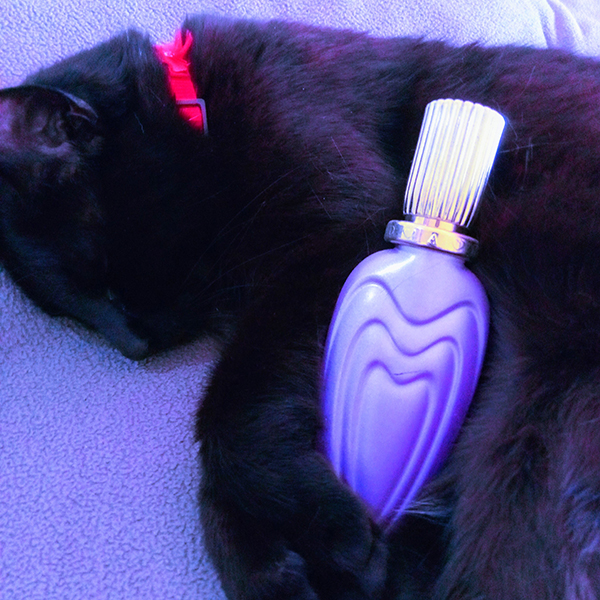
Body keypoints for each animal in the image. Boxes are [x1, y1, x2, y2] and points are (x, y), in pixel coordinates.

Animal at [2, 14, 600, 600]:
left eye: (101, 272)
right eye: (69, 314)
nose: (133, 346)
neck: (201, 106)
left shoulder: (335, 230)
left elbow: (234, 404)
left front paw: (331, 531)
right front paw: (275, 563)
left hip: (532, 416)